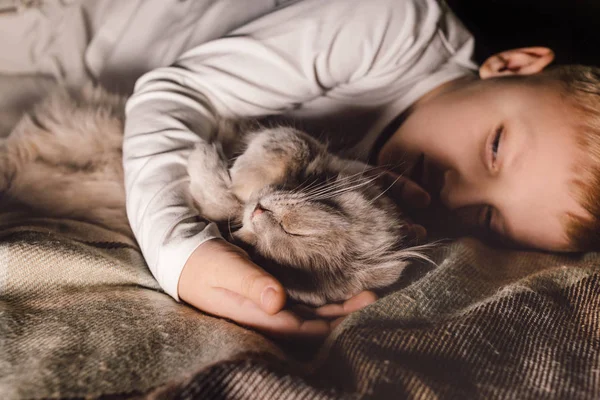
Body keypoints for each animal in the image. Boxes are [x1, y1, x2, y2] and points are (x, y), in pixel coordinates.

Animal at [2, 86, 428, 306]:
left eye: (266, 255)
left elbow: (217, 201)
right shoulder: (300, 143)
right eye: (296, 231)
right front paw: (239, 175)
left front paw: (217, 172)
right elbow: (287, 144)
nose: (258, 213)